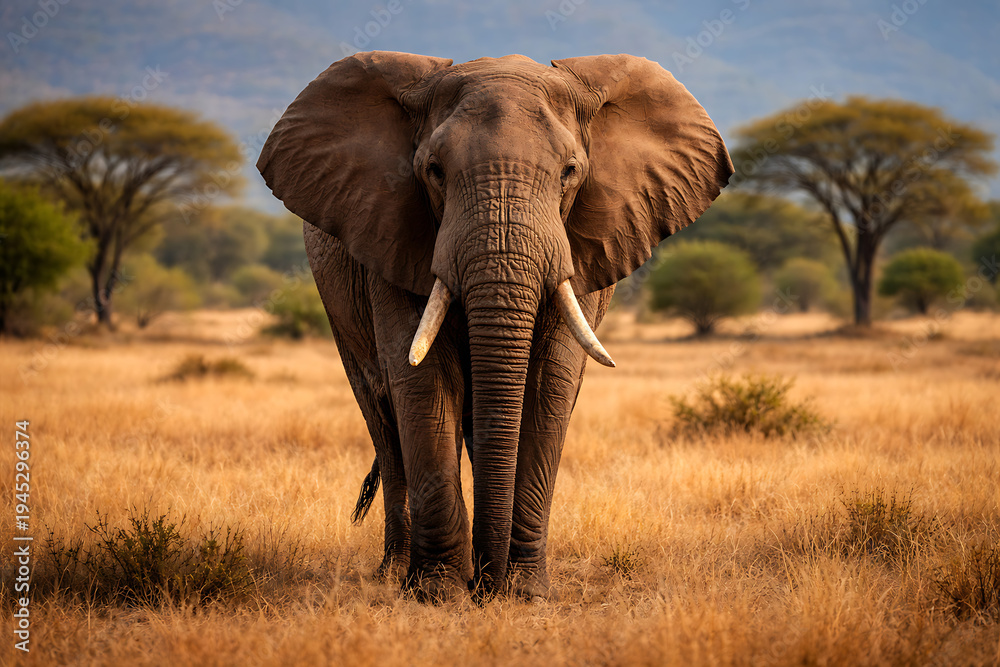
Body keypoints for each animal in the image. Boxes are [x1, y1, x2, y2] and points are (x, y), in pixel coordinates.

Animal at [257, 51, 732, 600]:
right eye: (434, 171)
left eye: (570, 172)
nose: (487, 583)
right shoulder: (393, 233)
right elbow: (422, 381)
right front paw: (437, 594)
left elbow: (551, 384)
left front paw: (524, 592)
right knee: (383, 418)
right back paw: (396, 573)